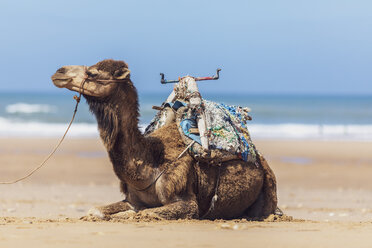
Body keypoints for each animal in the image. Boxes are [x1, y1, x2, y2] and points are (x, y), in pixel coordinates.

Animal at [52, 59, 278, 219]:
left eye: (92, 73)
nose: (58, 72)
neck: (151, 161)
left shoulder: (186, 202)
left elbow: (141, 213)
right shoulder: (132, 199)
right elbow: (95, 210)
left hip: (268, 189)